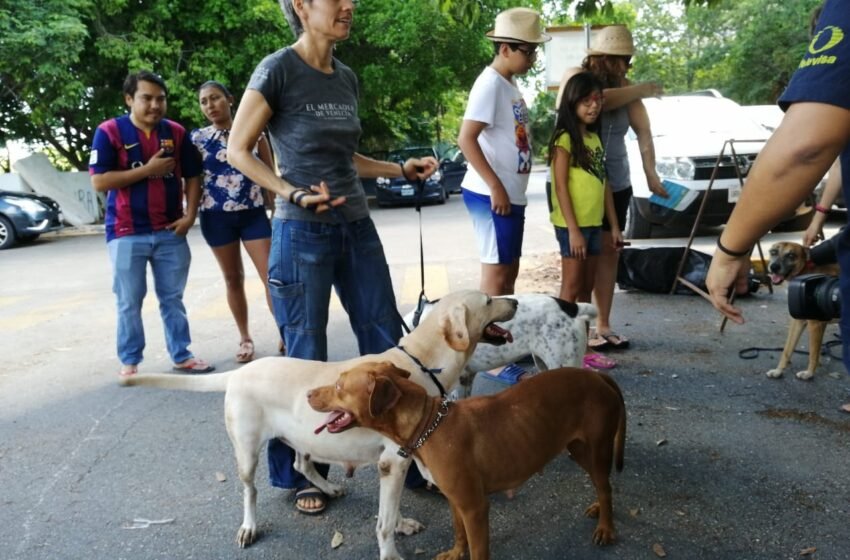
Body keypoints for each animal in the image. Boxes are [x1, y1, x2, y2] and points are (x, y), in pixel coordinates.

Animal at [121, 290, 512, 556]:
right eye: (488, 299)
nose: (514, 301)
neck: (422, 359)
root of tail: (241, 371)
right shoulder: (393, 462)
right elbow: (383, 523)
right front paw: (391, 549)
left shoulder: (396, 465)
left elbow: (391, 509)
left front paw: (401, 523)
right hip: (247, 451)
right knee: (250, 490)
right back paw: (249, 526)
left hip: (305, 437)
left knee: (300, 463)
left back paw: (326, 488)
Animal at [308, 360, 628, 556]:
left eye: (339, 386)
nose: (309, 393)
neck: (427, 424)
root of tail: (597, 376)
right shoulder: (455, 500)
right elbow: (458, 531)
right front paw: (455, 552)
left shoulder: (475, 507)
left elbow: (478, 550)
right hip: (579, 449)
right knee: (601, 484)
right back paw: (599, 508)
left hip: (598, 447)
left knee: (606, 486)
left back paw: (606, 527)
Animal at [764, 241, 840, 380]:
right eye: (773, 252)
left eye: (791, 255)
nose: (774, 267)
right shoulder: (797, 322)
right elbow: (787, 349)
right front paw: (778, 371)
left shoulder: (816, 324)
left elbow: (813, 353)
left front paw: (809, 373)